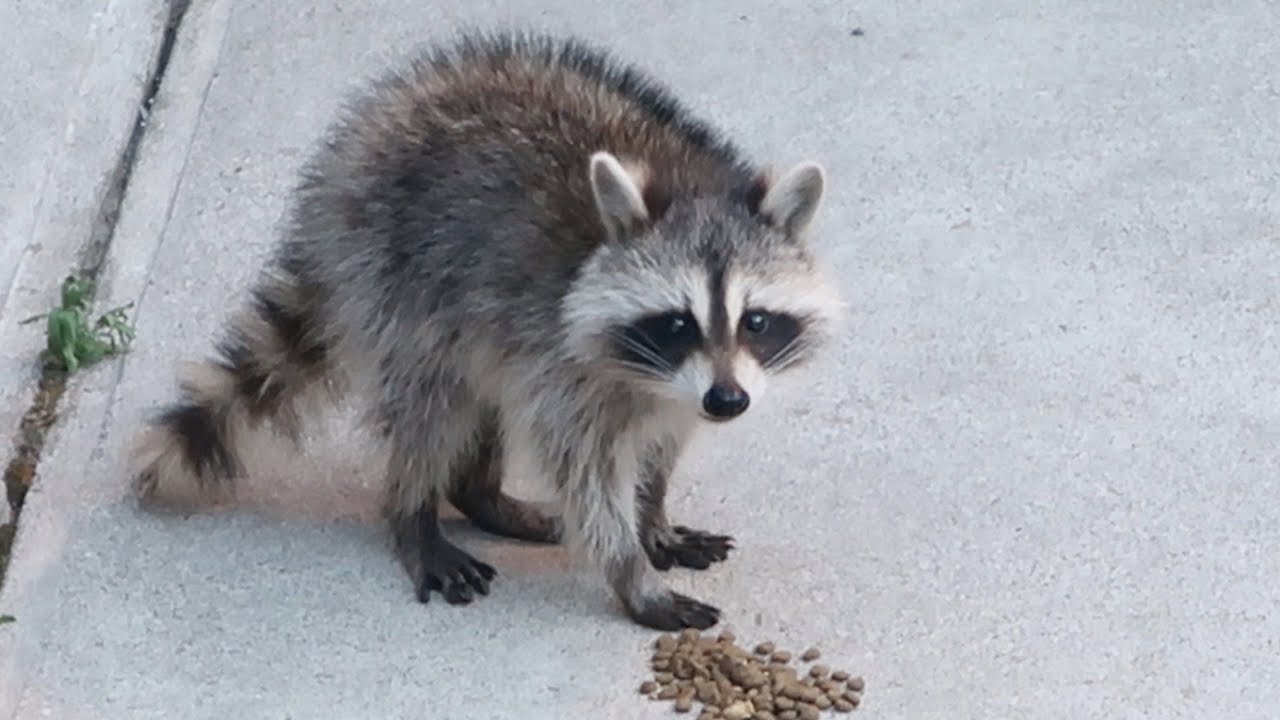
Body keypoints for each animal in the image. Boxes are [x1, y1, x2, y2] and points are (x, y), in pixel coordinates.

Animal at [130, 30, 845, 630]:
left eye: (757, 320)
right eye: (676, 323)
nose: (727, 402)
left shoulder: (670, 386)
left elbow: (660, 443)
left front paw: (652, 513)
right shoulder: (566, 362)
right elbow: (585, 471)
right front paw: (629, 570)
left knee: (484, 392)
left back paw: (478, 494)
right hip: (395, 274)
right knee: (432, 406)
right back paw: (416, 507)